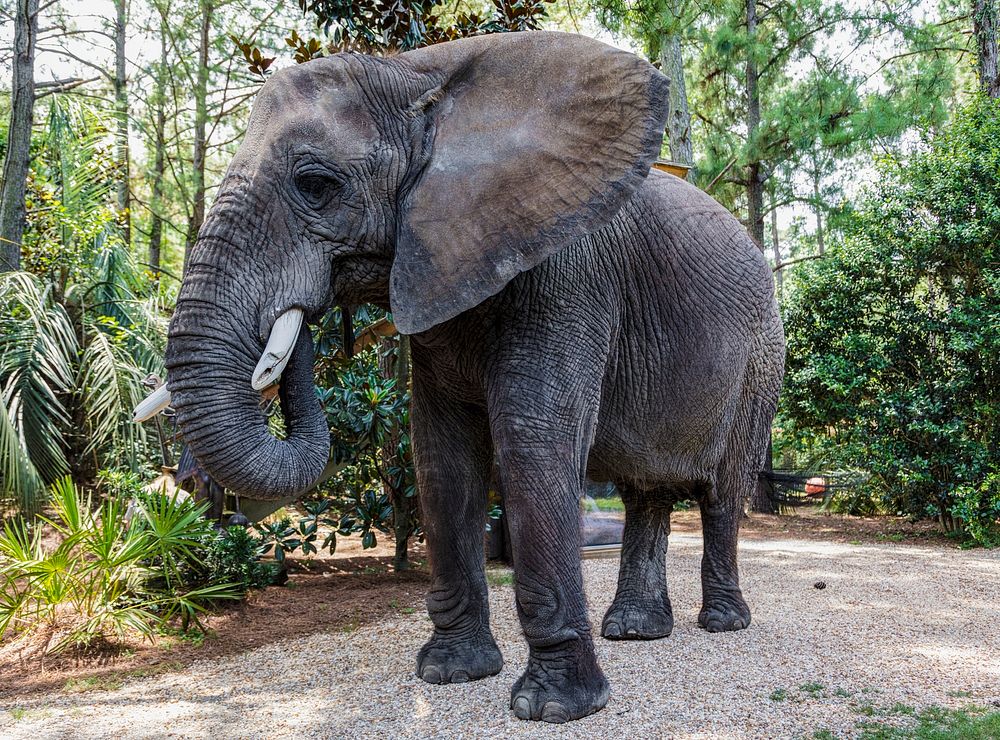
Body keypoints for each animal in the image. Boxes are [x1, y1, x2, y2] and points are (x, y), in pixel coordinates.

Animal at [156, 30, 784, 724]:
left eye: (315, 184)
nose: (298, 322)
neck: (414, 74)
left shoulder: (568, 269)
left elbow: (533, 441)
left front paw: (553, 708)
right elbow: (441, 452)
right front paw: (452, 674)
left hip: (759, 360)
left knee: (723, 488)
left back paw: (722, 623)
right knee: (645, 490)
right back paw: (636, 632)